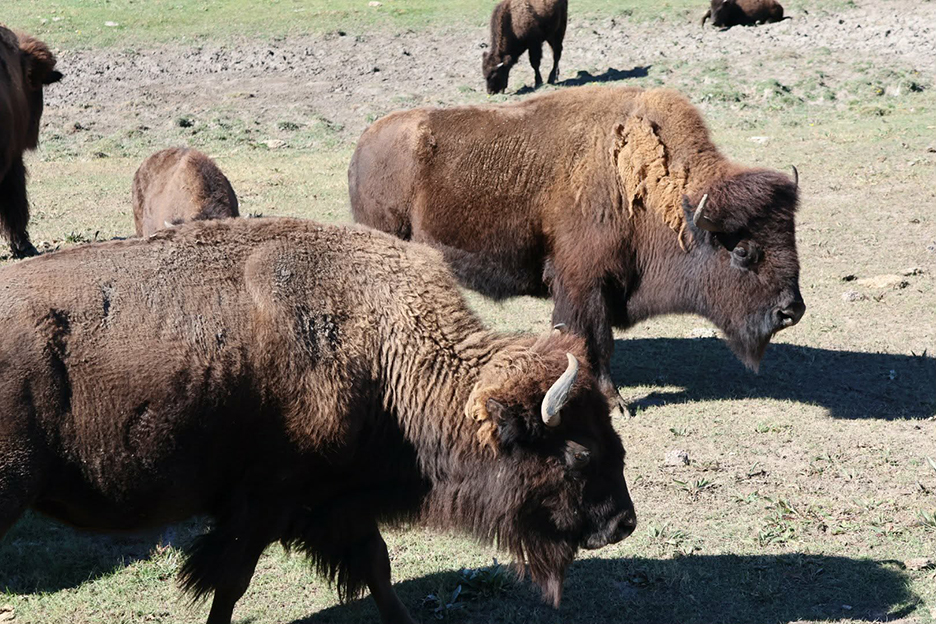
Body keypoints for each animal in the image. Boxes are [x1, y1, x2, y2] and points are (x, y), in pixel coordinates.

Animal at [0, 218, 635, 624]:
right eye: (579, 452)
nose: (623, 524)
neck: (385, 346)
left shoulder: (338, 501)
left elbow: (377, 569)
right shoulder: (264, 504)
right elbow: (231, 584)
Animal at [349, 86, 806, 416]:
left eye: (791, 236)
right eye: (743, 251)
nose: (792, 311)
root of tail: (363, 144)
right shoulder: (583, 284)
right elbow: (594, 342)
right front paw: (616, 403)